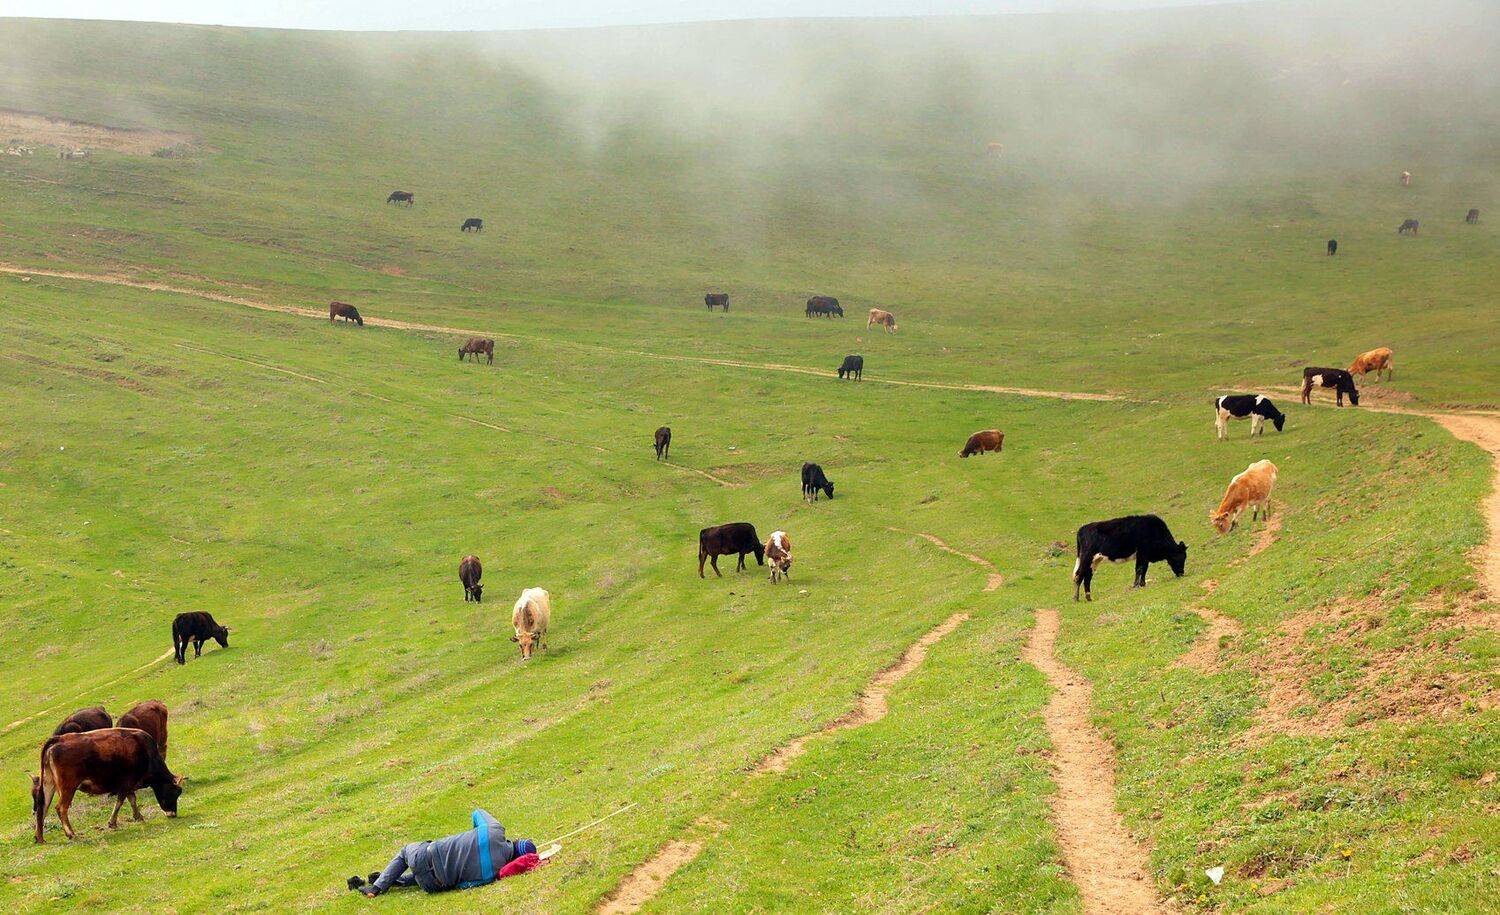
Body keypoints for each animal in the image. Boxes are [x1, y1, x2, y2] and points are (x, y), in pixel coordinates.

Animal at [32, 728, 183, 842]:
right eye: (175, 792)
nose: (173, 814)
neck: (145, 751)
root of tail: (58, 739)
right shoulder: (127, 783)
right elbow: (120, 801)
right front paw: (112, 823)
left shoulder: (127, 784)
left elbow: (132, 799)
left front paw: (137, 816)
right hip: (68, 787)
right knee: (61, 808)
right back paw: (71, 833)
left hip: (49, 783)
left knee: (43, 807)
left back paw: (39, 837)